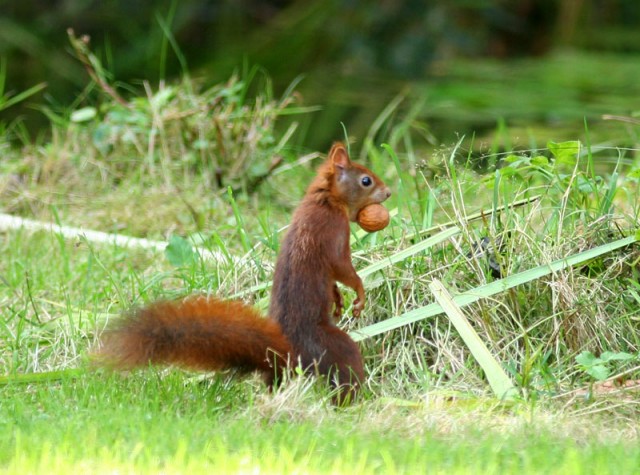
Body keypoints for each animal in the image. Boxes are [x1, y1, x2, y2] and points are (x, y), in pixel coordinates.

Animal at [96, 143, 390, 404]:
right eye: (366, 180)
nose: (387, 193)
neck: (325, 199)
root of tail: (282, 350)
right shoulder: (334, 232)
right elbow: (343, 268)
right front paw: (359, 294)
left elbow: (334, 282)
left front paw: (338, 299)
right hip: (332, 349)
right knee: (344, 371)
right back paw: (352, 404)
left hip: (282, 371)